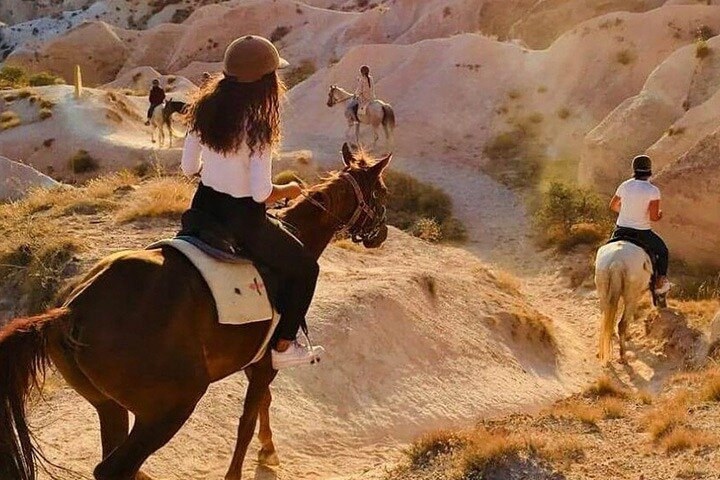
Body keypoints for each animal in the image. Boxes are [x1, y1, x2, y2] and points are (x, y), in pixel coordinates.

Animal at [0, 144, 390, 480]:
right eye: (382, 193)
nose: (382, 234)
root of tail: (71, 312)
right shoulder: (266, 363)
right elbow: (248, 420)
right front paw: (242, 468)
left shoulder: (254, 362)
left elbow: (263, 404)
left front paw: (268, 450)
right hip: (170, 406)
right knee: (114, 468)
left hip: (108, 405)